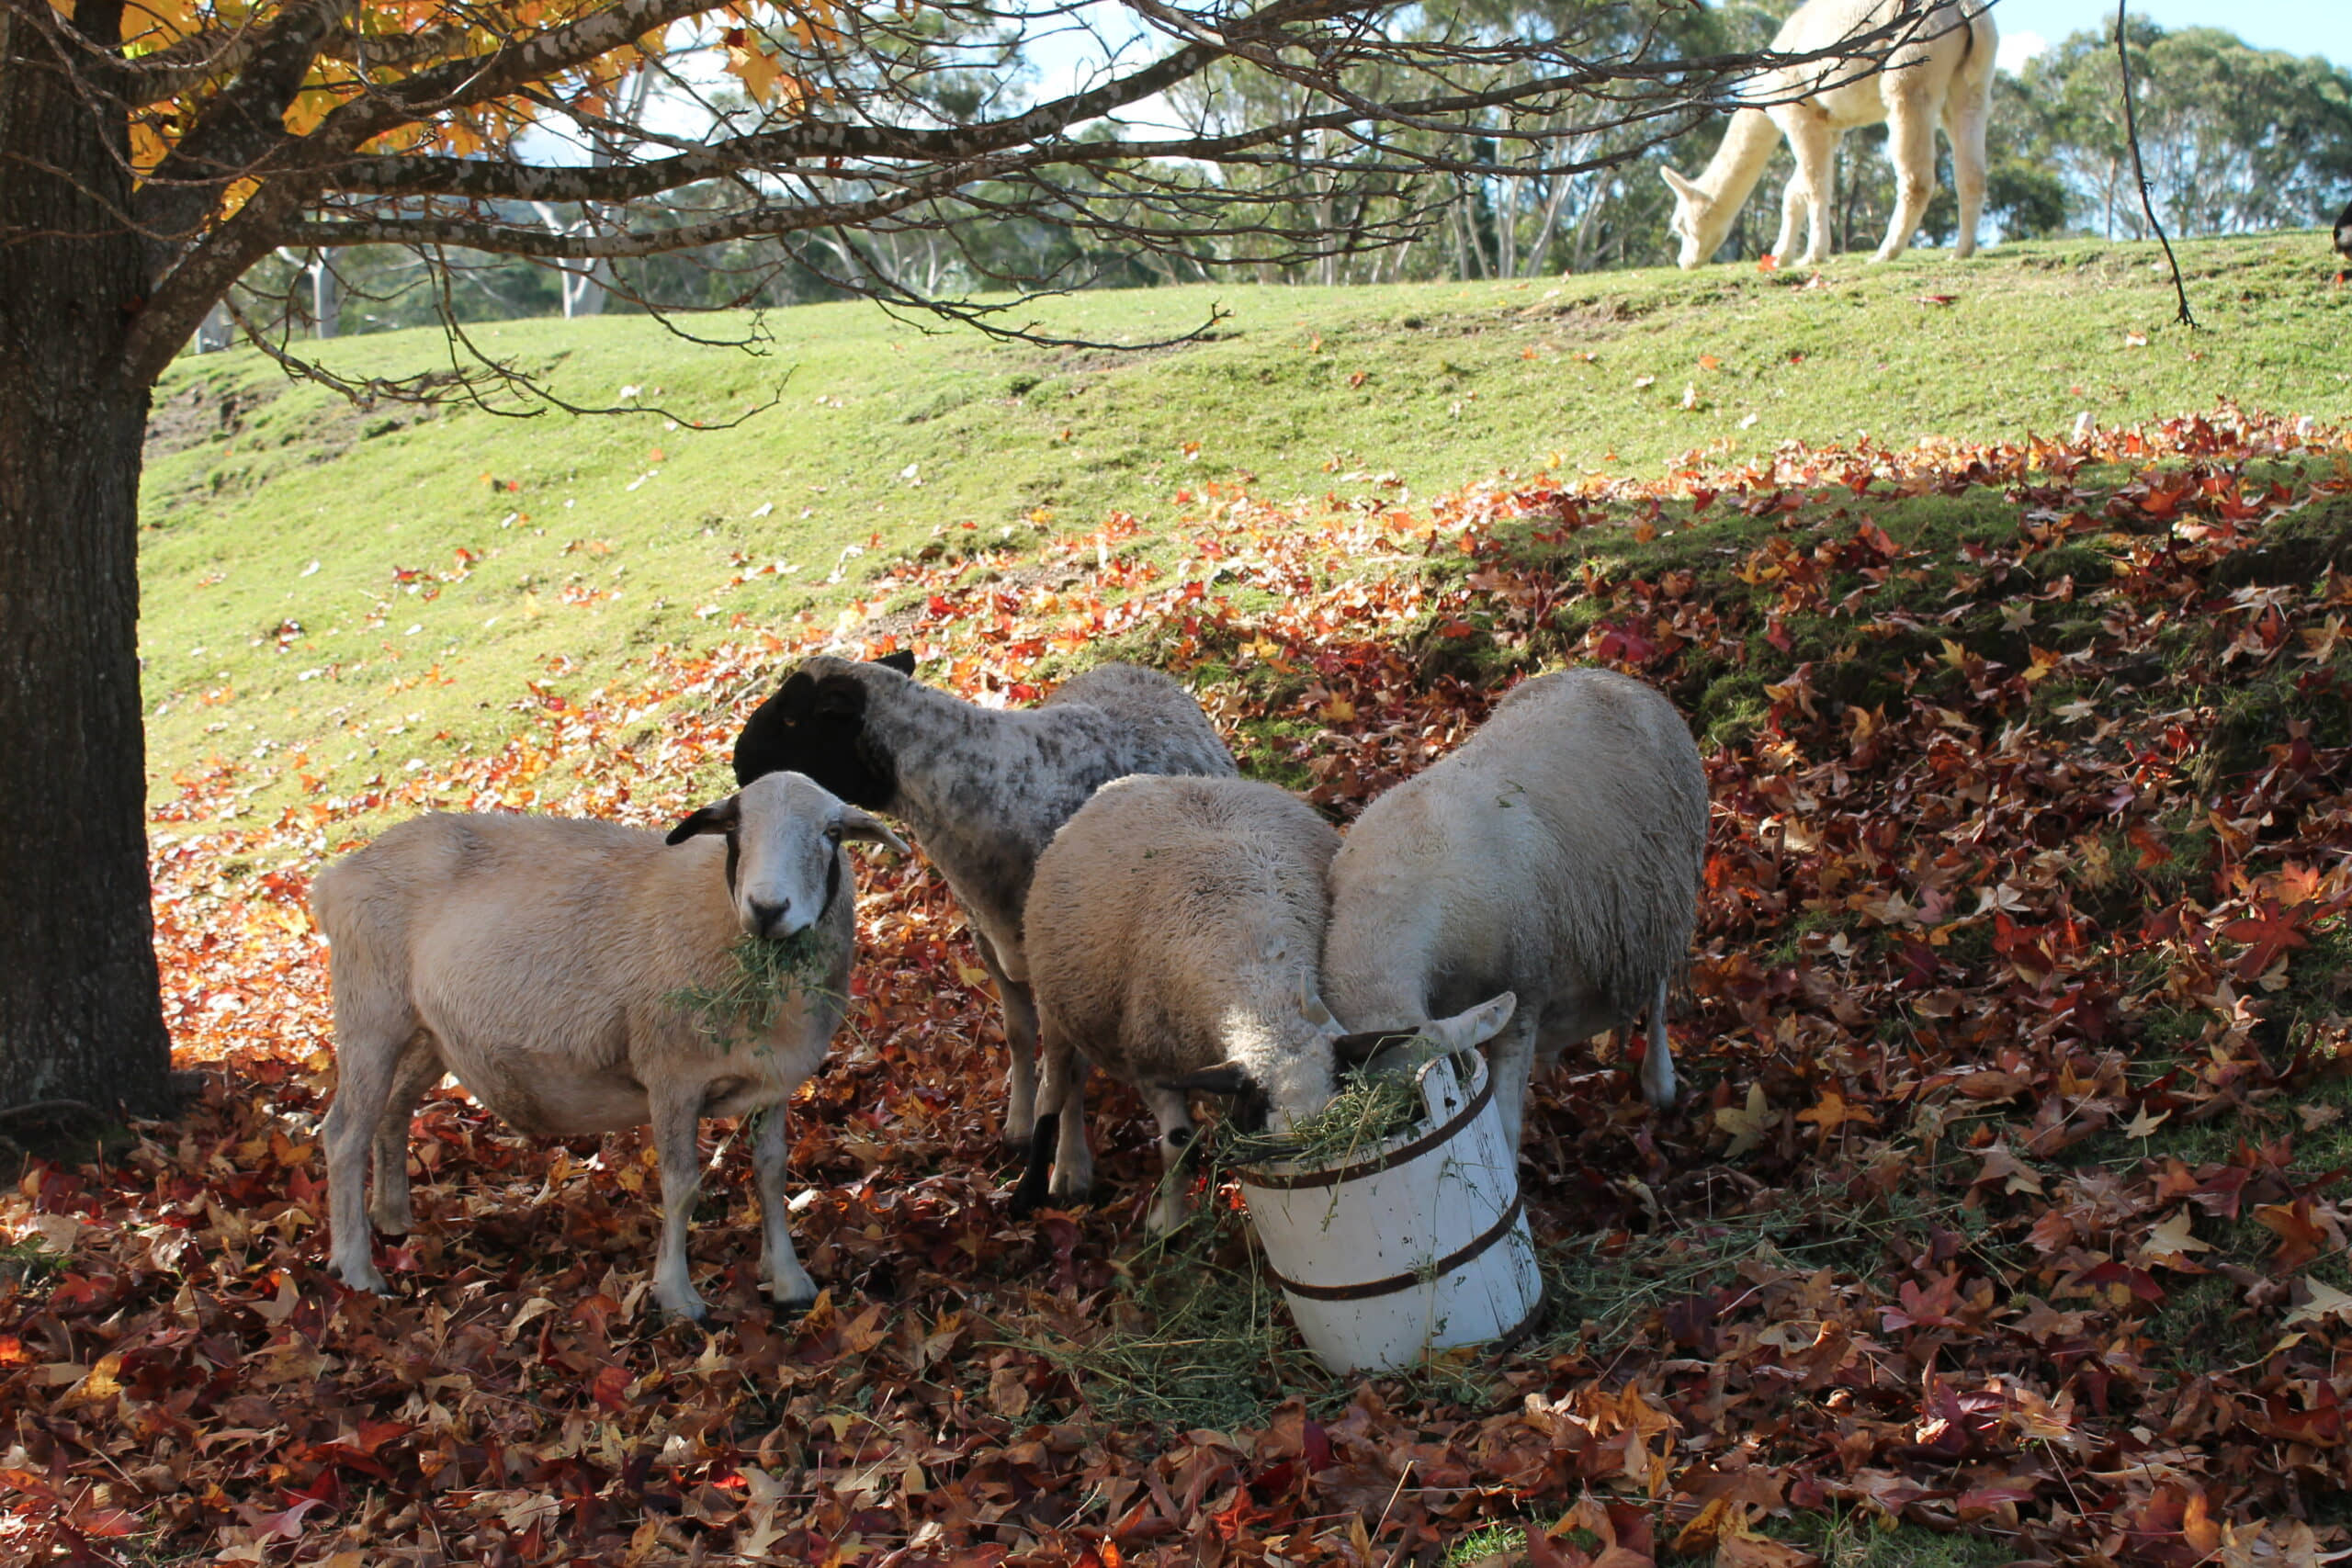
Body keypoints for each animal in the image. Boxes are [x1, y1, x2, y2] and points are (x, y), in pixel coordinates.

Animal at [310, 770, 906, 1323]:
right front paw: (677, 1296)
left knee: (393, 1109)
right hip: (370, 1010)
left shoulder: (773, 1081)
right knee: (343, 1134)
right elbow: (681, 1186)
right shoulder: (671, 1074)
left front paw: (788, 1280)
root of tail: (336, 876)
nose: (767, 908)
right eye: (736, 828)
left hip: (427, 1029)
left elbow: (771, 1171)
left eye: (832, 832)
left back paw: (391, 1218)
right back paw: (357, 1269)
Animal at [728, 651, 1235, 1152]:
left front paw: (1068, 1163)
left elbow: (1067, 1070)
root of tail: (1128, 667)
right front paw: (1019, 1127)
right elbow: (1019, 1035)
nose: (737, 763)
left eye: (792, 718)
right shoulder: (986, 937)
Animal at [1011, 773, 1521, 1232]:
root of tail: (1133, 781)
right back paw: (1036, 1184)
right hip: (1054, 1006)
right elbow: (1178, 1146)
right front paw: (1168, 1226)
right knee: (1056, 1087)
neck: (1264, 995)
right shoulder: (1151, 1064)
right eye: (1267, 1114)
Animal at [1321, 668, 1709, 1154]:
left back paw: (1660, 1081)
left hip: (1660, 896)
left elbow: (1504, 1124)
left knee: (1656, 991)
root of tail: (1611, 676)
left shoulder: (1524, 990)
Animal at [1660, 0, 1996, 269]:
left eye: (1680, 225)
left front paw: (1813, 256)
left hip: (1911, 69)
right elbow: (1794, 190)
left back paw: (1885, 253)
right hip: (1971, 85)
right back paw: (1962, 251)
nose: (1684, 262)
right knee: (1972, 171)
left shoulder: (1799, 112)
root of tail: (1966, 8)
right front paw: (1781, 257)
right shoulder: (1830, 126)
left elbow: (1814, 186)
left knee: (1917, 176)